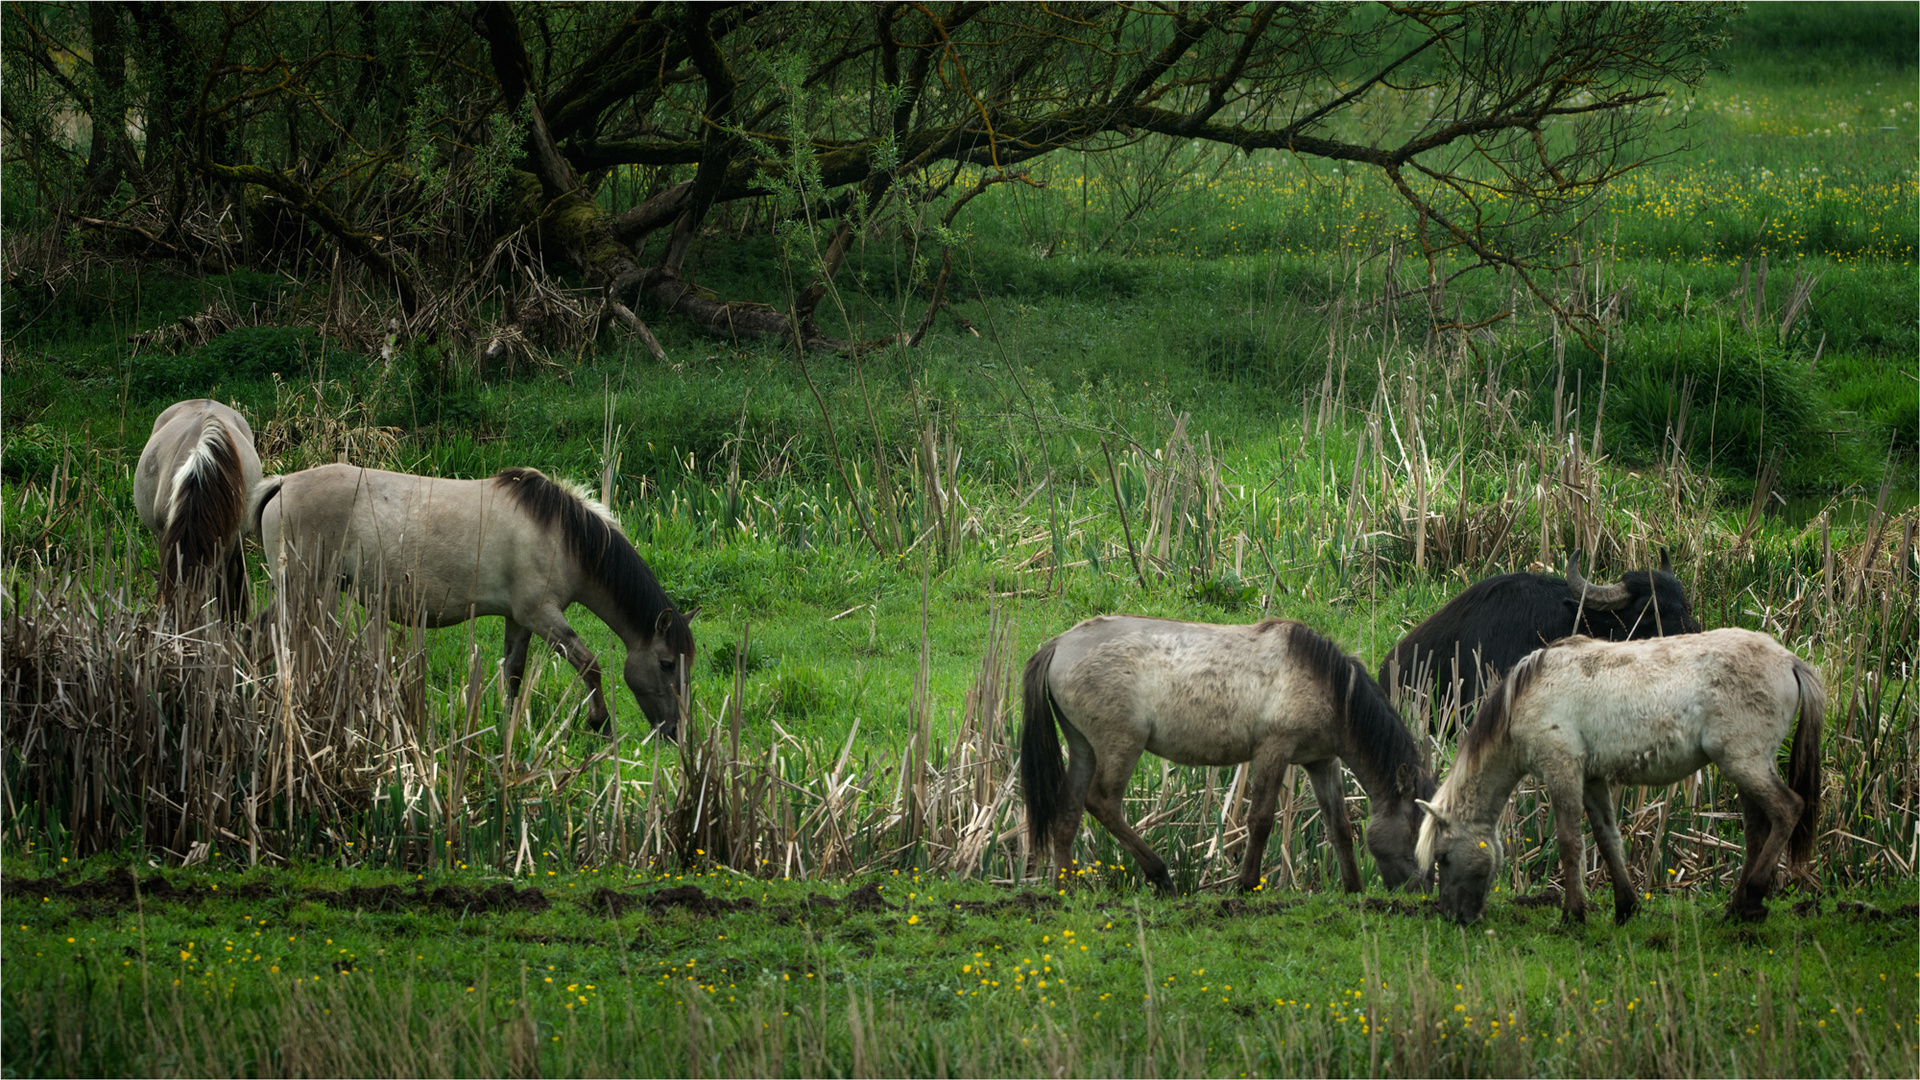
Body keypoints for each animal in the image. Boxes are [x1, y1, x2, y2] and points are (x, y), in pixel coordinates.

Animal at [251, 457, 695, 734]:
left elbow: (513, 672)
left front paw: (508, 725)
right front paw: (598, 721)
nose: (675, 730)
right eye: (667, 663)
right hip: (302, 589)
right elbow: (589, 664)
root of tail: (282, 483)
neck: (562, 535)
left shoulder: (519, 619)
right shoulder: (542, 615)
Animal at [1021, 614, 1428, 891]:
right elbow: (1260, 819)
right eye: (1413, 834)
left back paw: (1065, 889)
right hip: (1121, 744)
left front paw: (1353, 889)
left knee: (1068, 812)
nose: (1420, 890)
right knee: (1102, 802)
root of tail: (1058, 645)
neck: (1324, 682)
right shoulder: (1274, 749)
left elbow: (1339, 826)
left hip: (1083, 747)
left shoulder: (1321, 761)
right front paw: (1245, 885)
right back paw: (1160, 875)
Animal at [1420, 626, 1820, 922]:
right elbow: (1607, 839)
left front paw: (1573, 915)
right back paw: (1738, 909)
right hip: (1745, 768)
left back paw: (1754, 894)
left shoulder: (1562, 768)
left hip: (1743, 763)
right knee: (1757, 832)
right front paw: (1625, 907)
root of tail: (1789, 660)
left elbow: (1570, 843)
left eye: (1442, 856)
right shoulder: (1593, 779)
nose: (1453, 917)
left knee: (1788, 809)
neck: (1526, 695)